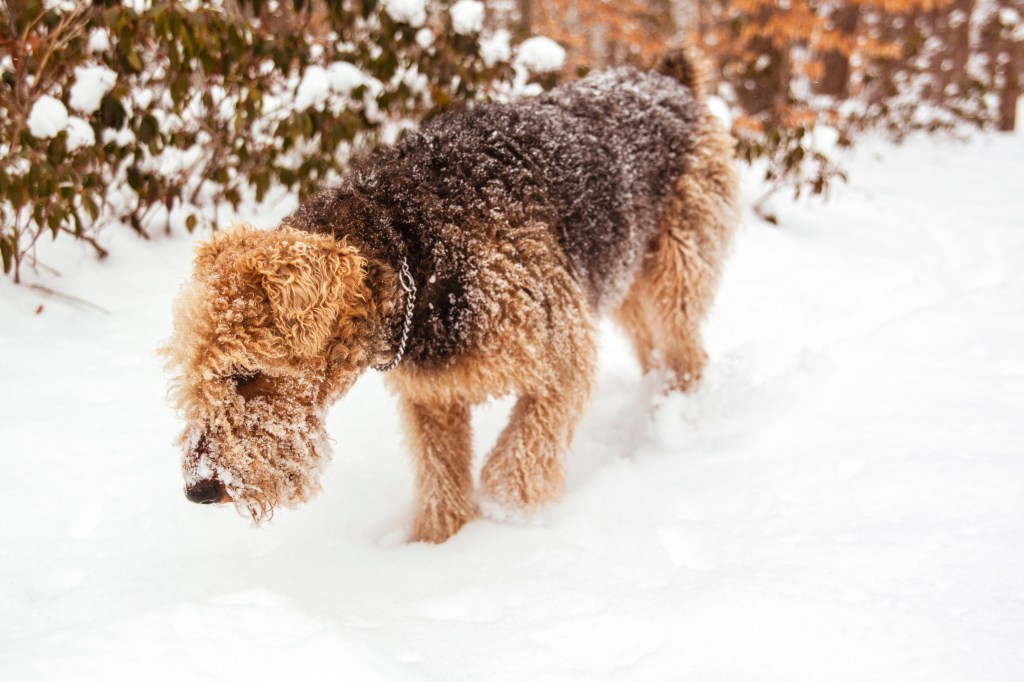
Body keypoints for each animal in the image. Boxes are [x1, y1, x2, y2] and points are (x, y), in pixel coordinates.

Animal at [161, 49, 737, 540]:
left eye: (246, 373)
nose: (199, 490)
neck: (409, 253)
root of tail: (669, 78)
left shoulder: (561, 359)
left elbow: (513, 465)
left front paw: (506, 525)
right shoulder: (433, 401)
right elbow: (444, 488)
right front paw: (437, 548)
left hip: (676, 272)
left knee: (688, 355)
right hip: (629, 281)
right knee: (655, 352)